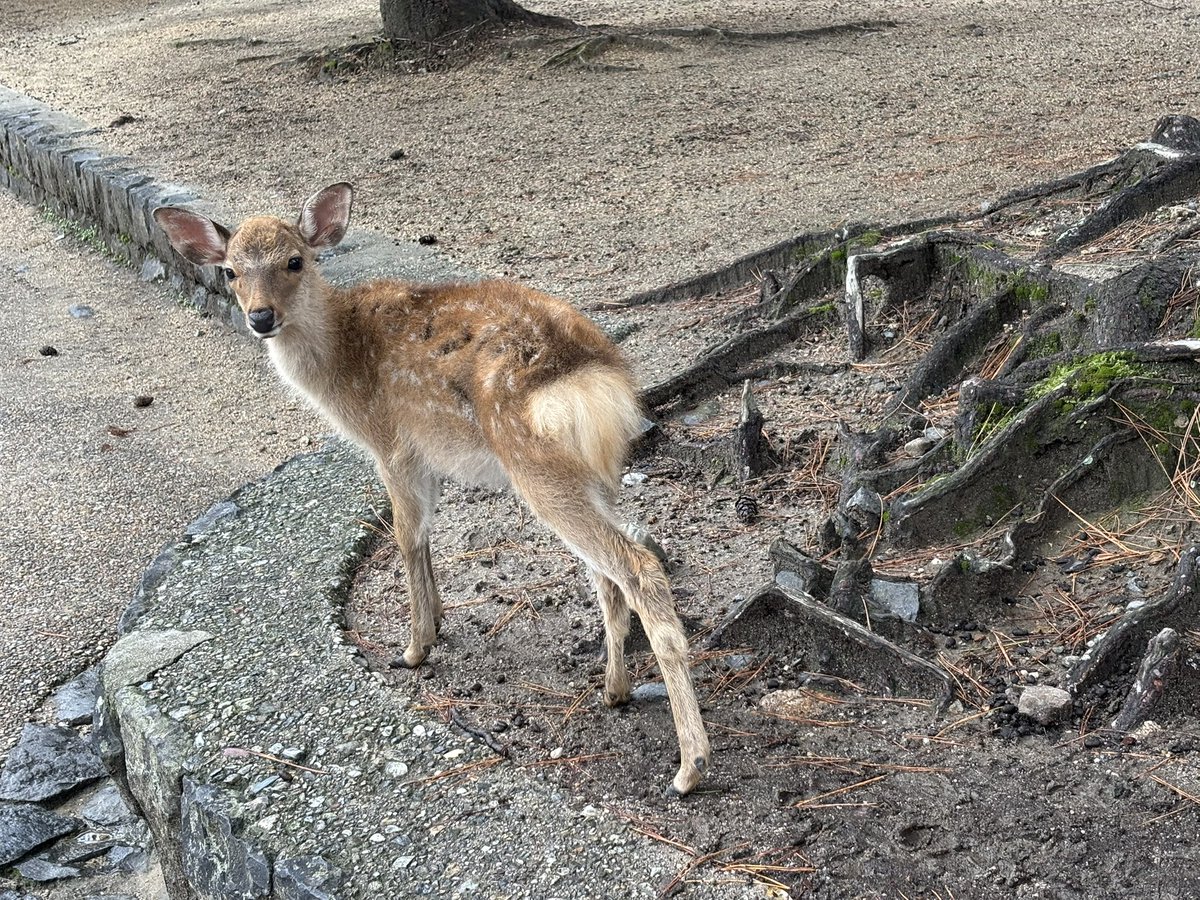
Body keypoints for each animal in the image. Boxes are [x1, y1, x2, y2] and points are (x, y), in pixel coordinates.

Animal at [153, 184, 711, 796]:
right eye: (230, 271)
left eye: (295, 261)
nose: (260, 317)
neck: (339, 368)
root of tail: (594, 378)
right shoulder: (430, 458)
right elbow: (428, 535)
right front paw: (439, 619)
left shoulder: (393, 446)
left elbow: (406, 534)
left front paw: (415, 647)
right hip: (595, 474)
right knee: (609, 571)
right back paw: (615, 691)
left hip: (536, 467)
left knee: (637, 567)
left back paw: (689, 766)